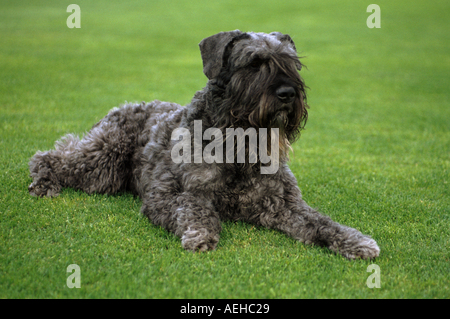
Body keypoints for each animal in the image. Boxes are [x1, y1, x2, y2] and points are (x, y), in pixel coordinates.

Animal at [28, 30, 380, 260]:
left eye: (292, 63)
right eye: (254, 63)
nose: (287, 94)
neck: (238, 144)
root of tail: (124, 106)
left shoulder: (283, 204)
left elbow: (321, 222)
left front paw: (355, 241)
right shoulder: (167, 196)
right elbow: (197, 208)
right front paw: (201, 233)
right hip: (103, 165)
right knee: (50, 155)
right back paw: (44, 181)